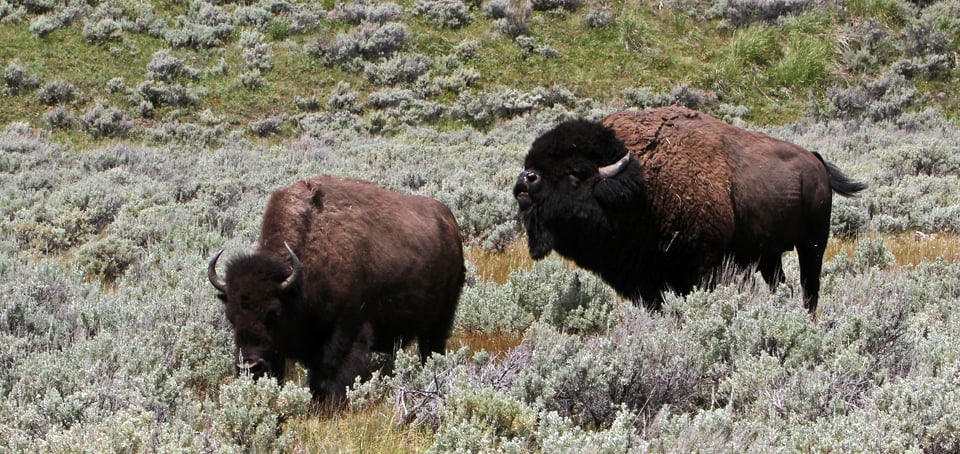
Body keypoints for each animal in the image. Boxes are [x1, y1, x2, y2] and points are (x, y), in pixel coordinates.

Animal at [208, 175, 465, 403]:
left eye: (273, 313)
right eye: (230, 317)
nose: (250, 366)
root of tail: (450, 223)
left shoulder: (346, 332)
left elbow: (332, 374)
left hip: (440, 318)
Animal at [513, 106, 866, 314]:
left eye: (575, 174)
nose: (525, 181)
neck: (640, 187)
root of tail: (815, 161)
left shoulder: (701, 269)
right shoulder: (649, 282)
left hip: (813, 244)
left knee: (810, 287)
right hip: (770, 256)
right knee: (782, 283)